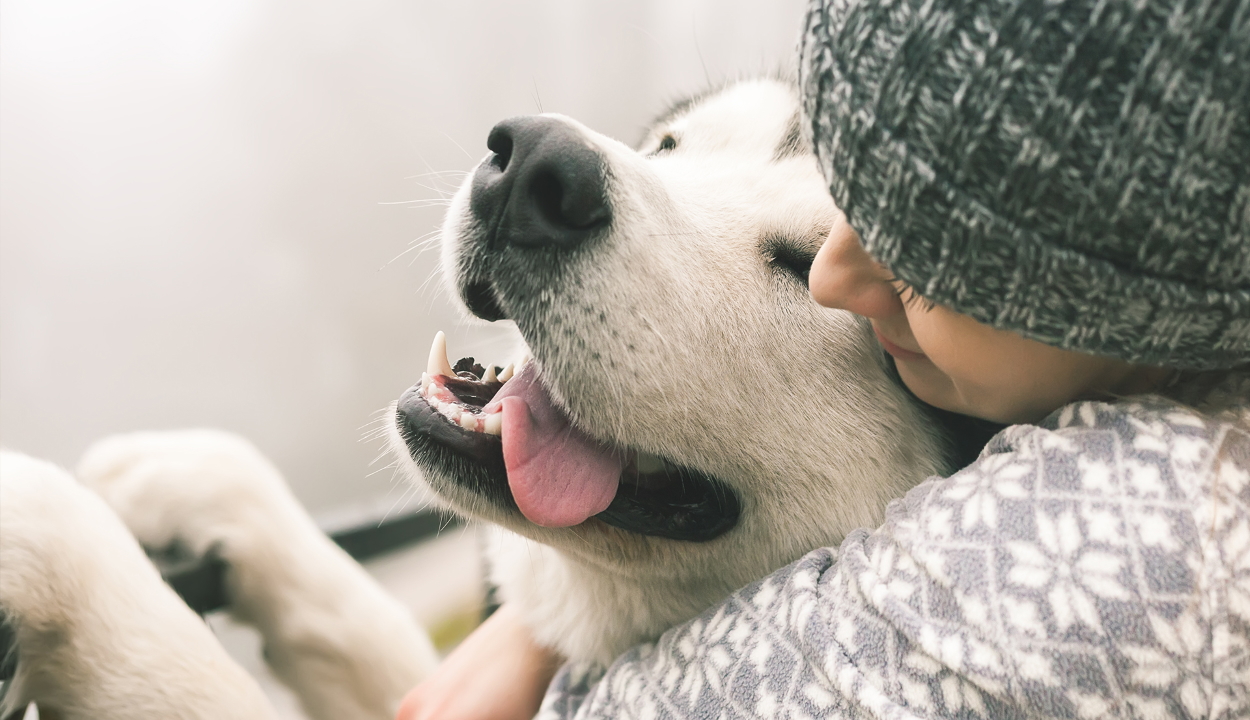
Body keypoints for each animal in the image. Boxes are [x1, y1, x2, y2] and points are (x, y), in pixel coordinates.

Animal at [0, 75, 955, 715]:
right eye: (670, 148)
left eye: (807, 265)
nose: (535, 164)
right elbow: (368, 622)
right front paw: (198, 481)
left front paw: (41, 520)